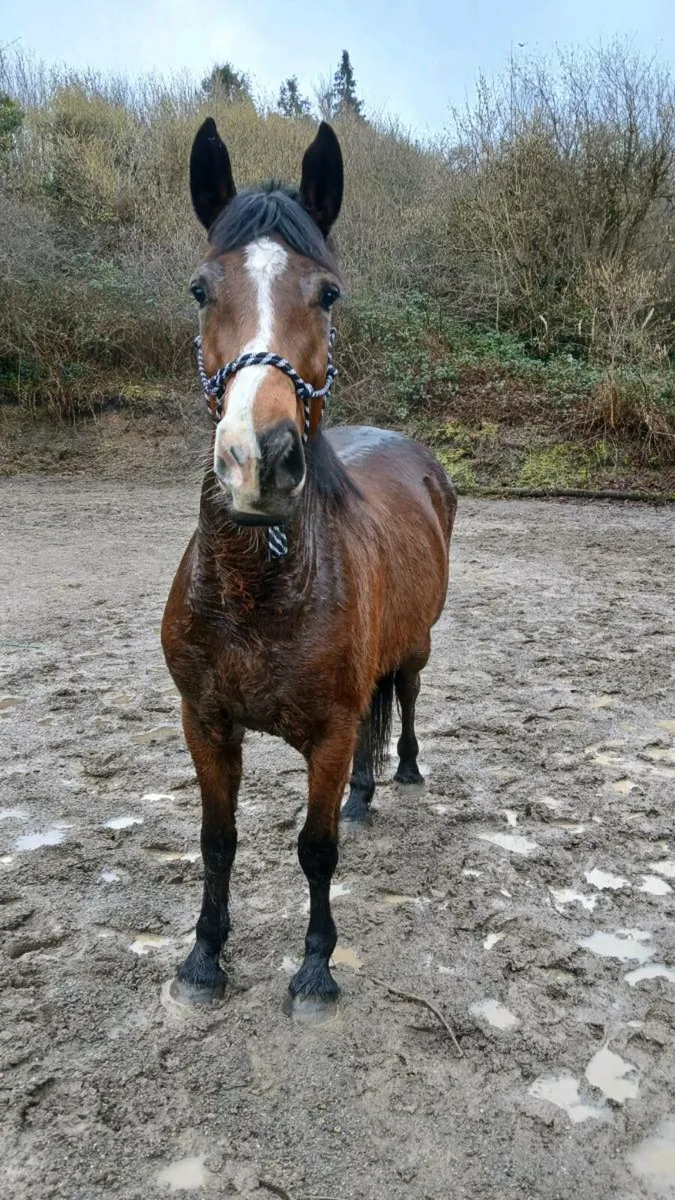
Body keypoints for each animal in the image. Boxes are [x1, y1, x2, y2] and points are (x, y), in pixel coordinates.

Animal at [161, 118, 457, 1016]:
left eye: (326, 294)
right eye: (200, 289)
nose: (258, 460)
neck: (258, 588)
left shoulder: (323, 735)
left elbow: (315, 850)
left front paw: (315, 968)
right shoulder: (204, 723)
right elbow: (217, 841)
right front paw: (203, 958)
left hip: (414, 649)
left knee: (401, 704)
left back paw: (400, 775)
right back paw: (365, 796)